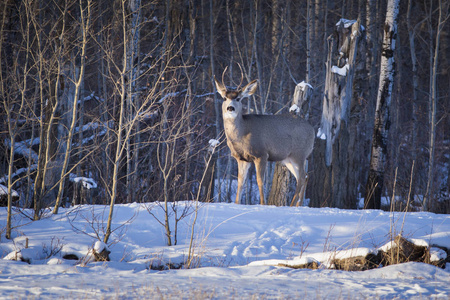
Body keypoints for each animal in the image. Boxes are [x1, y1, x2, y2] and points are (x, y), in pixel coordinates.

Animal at [215, 74, 314, 206]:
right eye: (224, 98)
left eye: (239, 99)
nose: (230, 108)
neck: (242, 133)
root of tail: (312, 130)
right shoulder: (241, 158)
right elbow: (241, 182)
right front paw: (236, 204)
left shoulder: (261, 154)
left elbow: (260, 180)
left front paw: (263, 204)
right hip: (288, 158)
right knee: (305, 176)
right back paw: (298, 205)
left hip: (299, 154)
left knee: (302, 177)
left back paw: (293, 204)